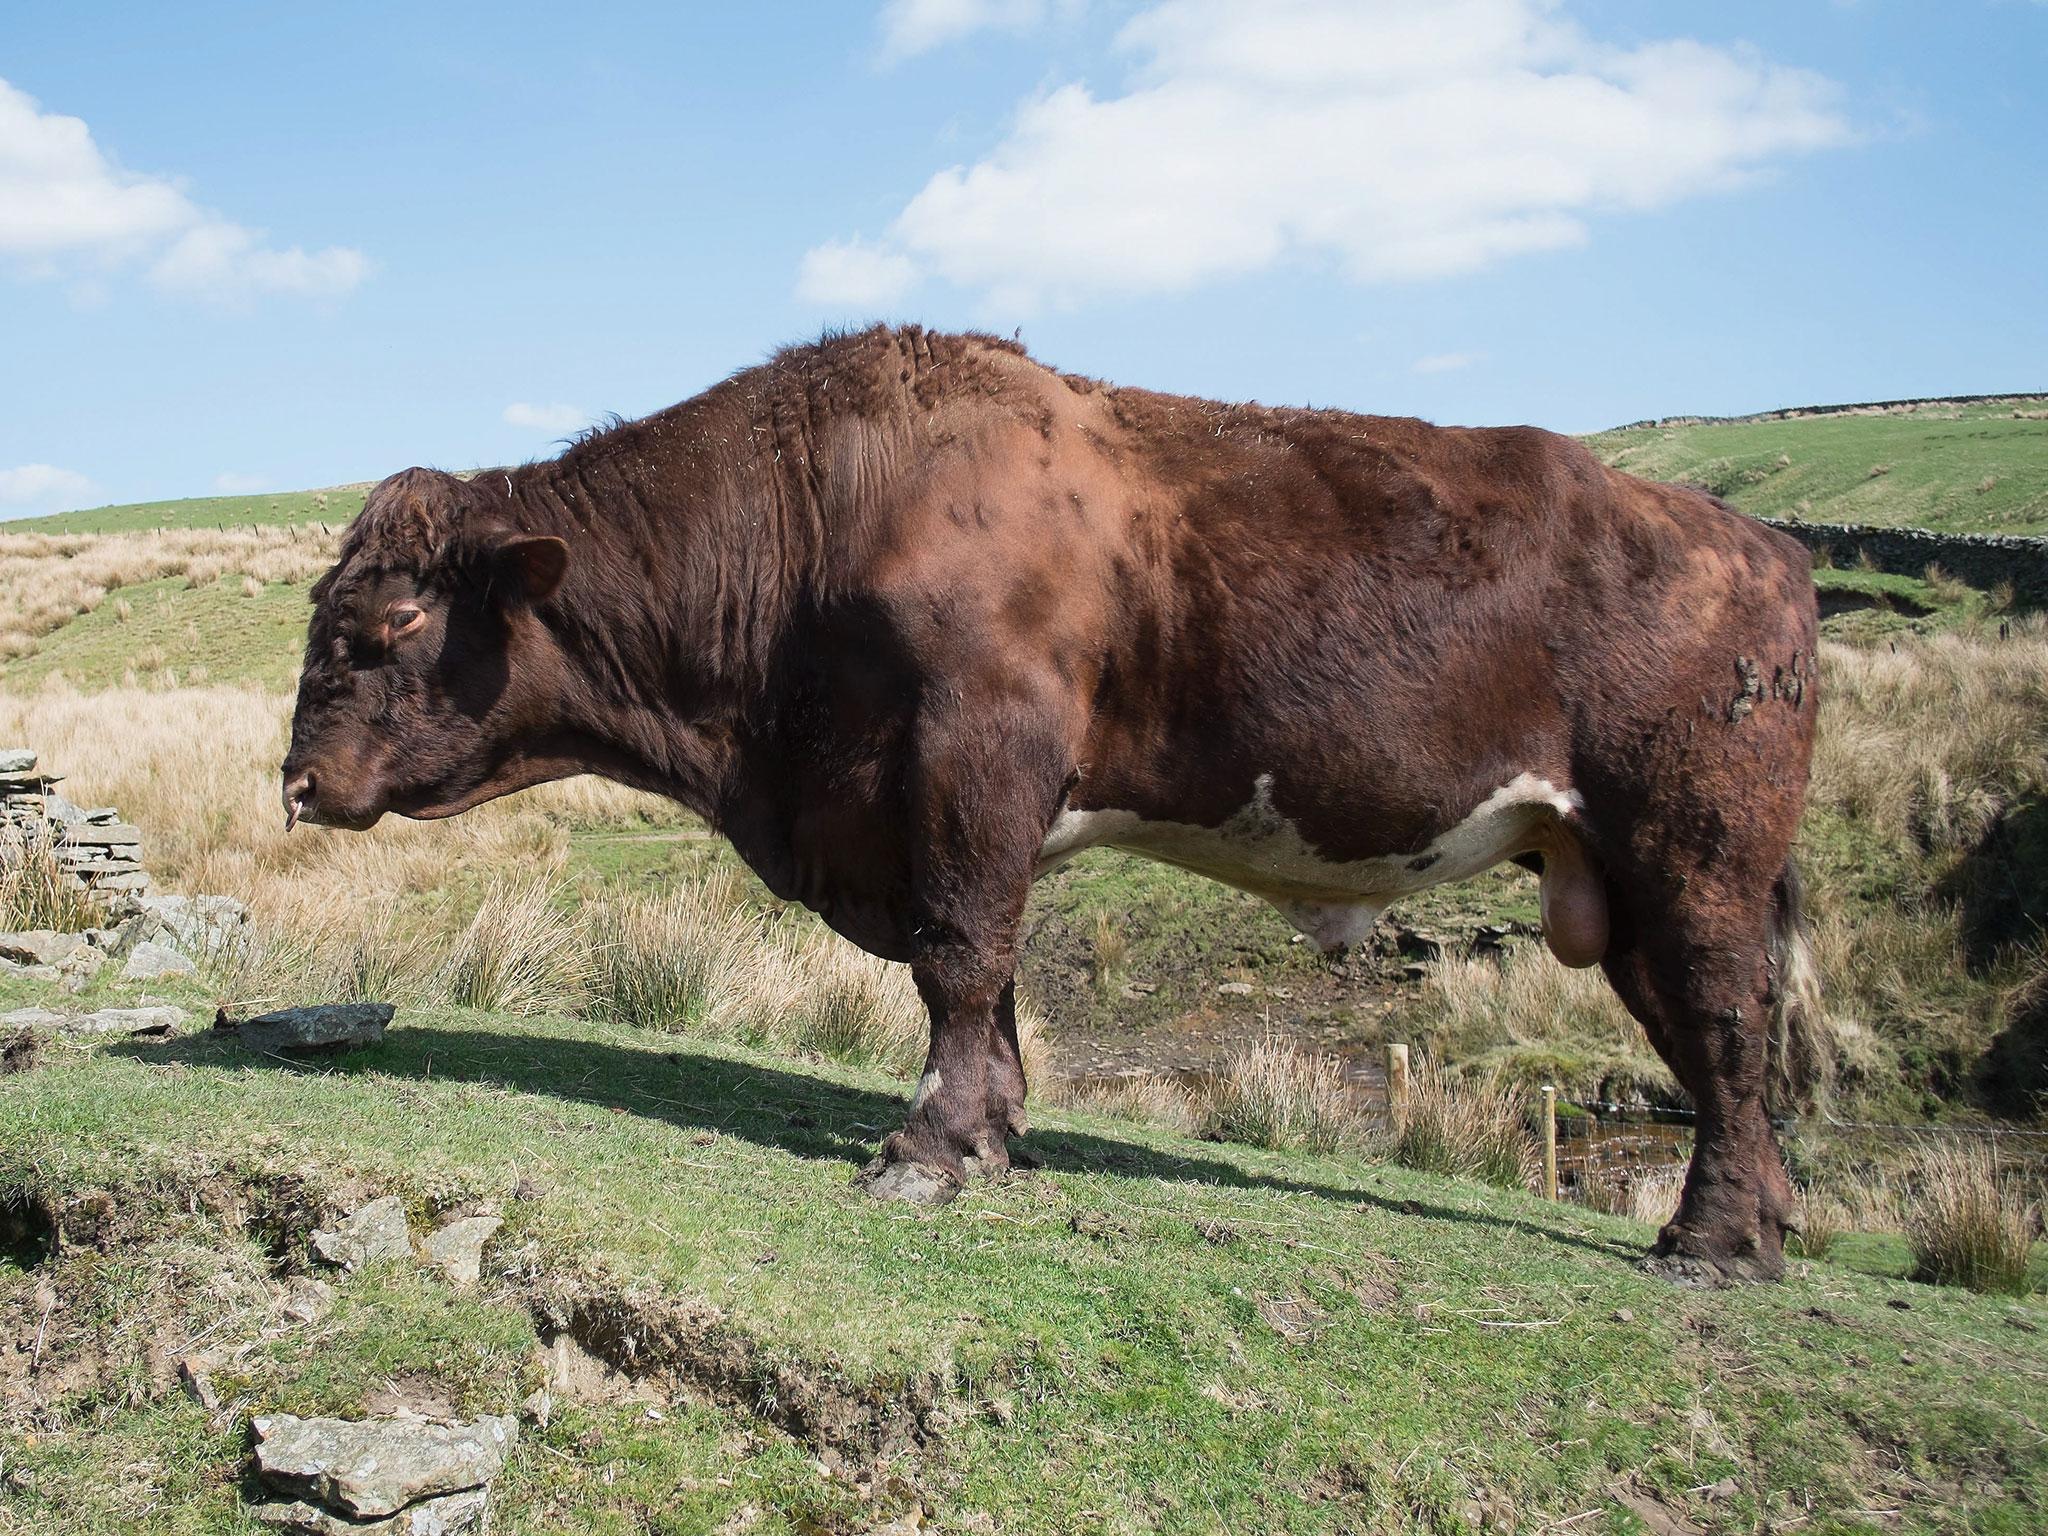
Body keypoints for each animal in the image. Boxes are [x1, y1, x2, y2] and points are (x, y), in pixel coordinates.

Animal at [284, 325, 1826, 1286]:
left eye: (396, 621)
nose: (298, 779)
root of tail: (1750, 540)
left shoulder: (975, 761)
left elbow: (963, 956)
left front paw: (926, 1153)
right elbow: (988, 976)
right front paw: (998, 1133)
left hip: (1692, 850)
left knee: (1728, 1027)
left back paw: (1709, 1245)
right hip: (1620, 873)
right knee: (1712, 1043)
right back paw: (1755, 1227)